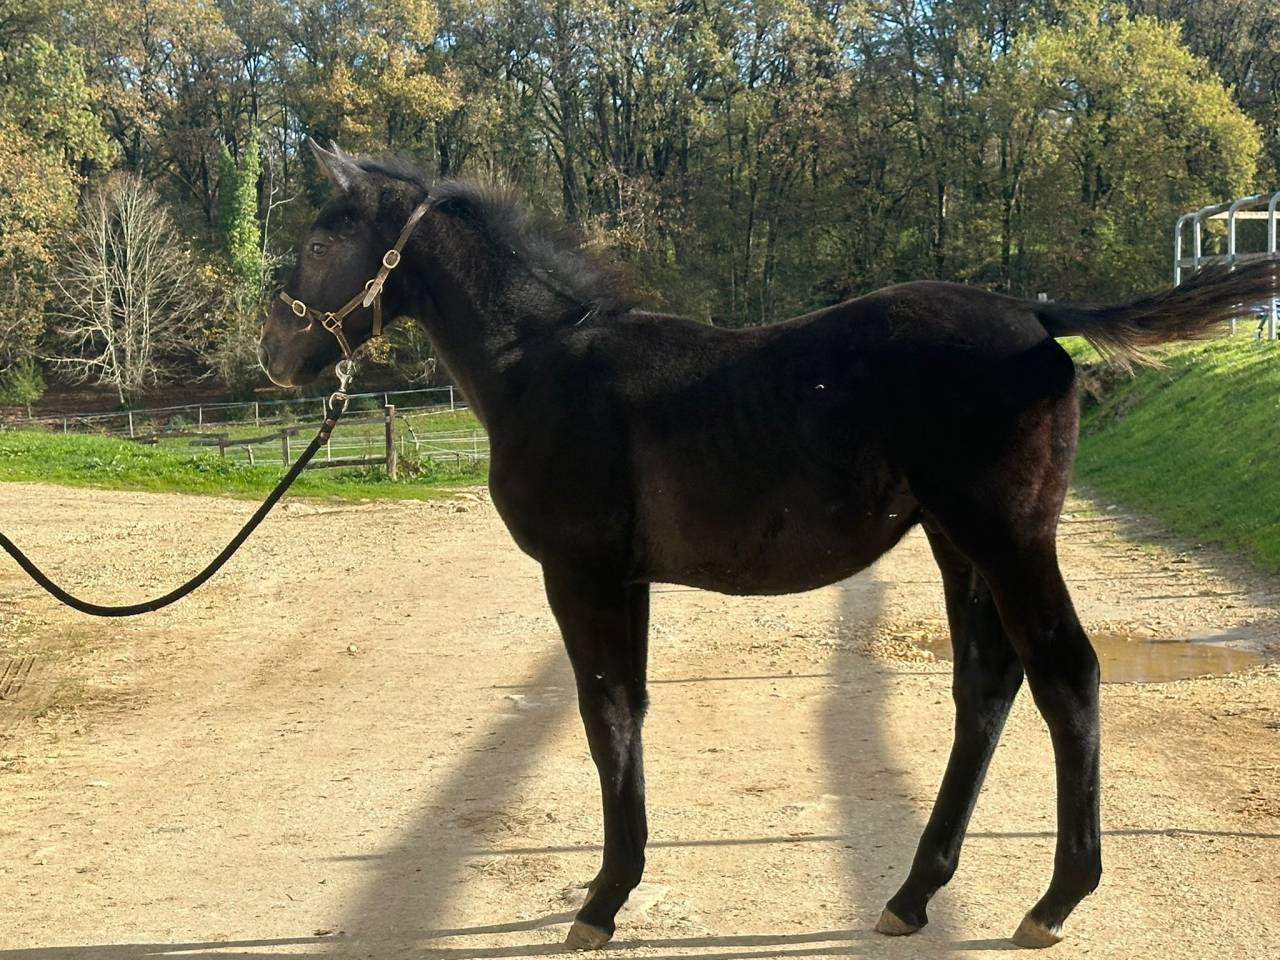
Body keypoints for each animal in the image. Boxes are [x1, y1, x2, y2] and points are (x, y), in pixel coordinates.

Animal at [258, 141, 1278, 950]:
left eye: (317, 244)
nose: (276, 357)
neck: (540, 366)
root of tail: (1037, 315)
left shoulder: (581, 573)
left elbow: (603, 715)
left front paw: (602, 902)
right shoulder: (624, 579)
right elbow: (627, 711)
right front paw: (613, 885)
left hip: (1009, 537)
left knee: (1067, 674)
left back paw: (1054, 902)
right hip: (958, 544)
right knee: (986, 687)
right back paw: (914, 893)